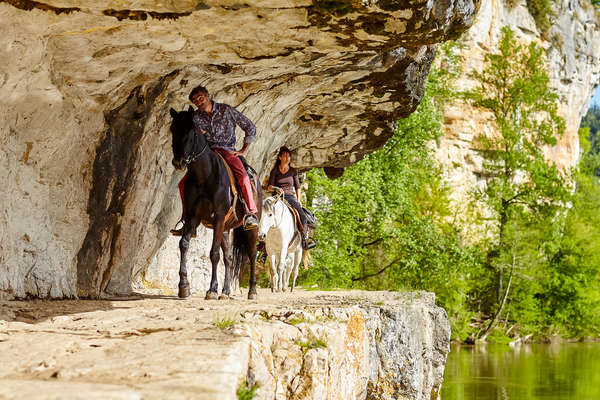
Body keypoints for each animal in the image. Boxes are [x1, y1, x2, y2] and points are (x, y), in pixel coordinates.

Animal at [170, 107, 262, 300]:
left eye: (190, 131)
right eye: (172, 130)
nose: (178, 162)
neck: (204, 175)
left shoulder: (218, 217)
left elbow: (213, 253)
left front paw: (211, 289)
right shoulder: (193, 217)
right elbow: (184, 244)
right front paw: (184, 286)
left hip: (250, 228)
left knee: (251, 254)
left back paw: (252, 291)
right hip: (226, 229)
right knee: (228, 257)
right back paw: (226, 291)